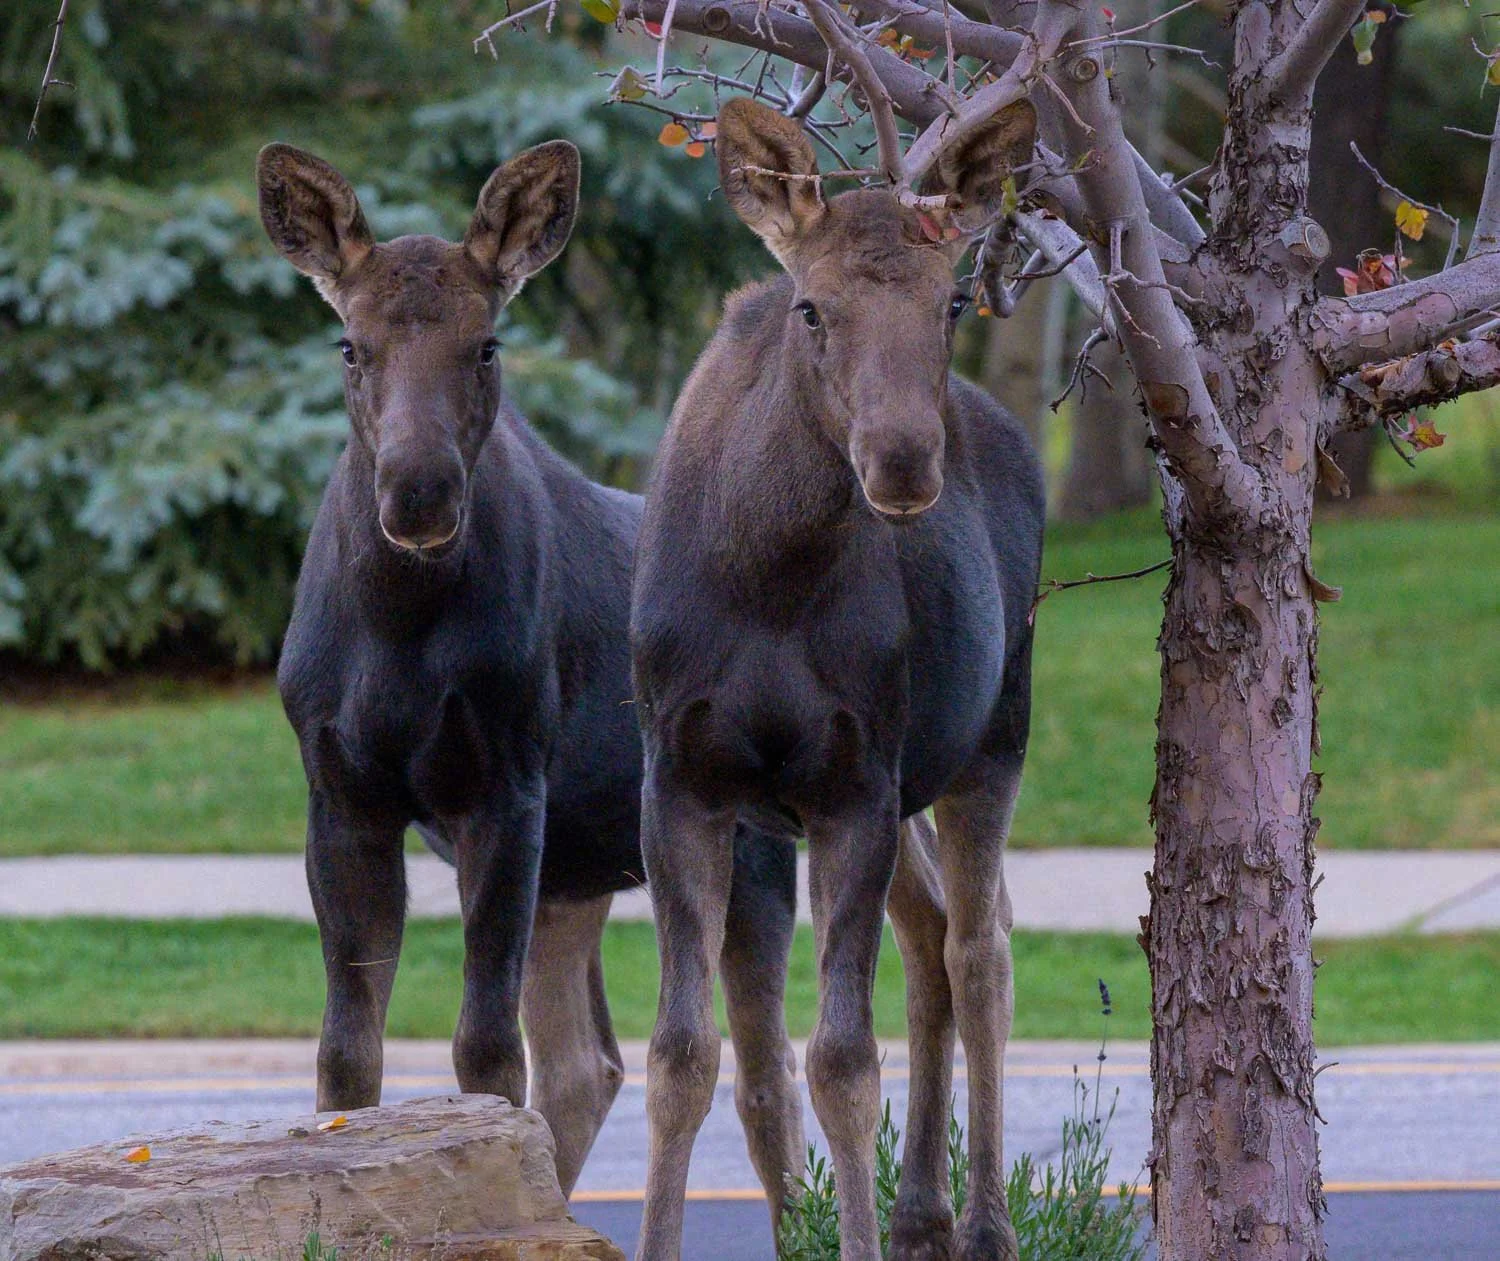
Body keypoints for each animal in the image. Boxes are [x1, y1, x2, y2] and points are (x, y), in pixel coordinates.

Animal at [255, 140, 800, 1202]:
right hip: (583, 870)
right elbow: (346, 1054)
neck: (401, 629)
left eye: (487, 343)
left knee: (770, 1079)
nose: (419, 491)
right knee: (592, 1063)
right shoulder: (338, 789)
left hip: (749, 834)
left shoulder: (508, 781)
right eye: (350, 346)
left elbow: (484, 1051)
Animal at [629, 97, 1046, 1261]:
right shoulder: (681, 779)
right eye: (811, 308)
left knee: (982, 950)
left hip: (991, 735)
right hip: (908, 778)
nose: (902, 458)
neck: (772, 571)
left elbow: (843, 1063)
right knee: (934, 933)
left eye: (951, 300)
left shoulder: (853, 782)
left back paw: (983, 1224)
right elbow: (682, 1054)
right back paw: (920, 1214)